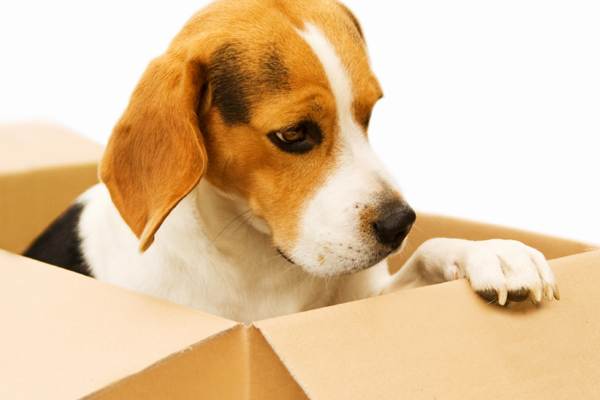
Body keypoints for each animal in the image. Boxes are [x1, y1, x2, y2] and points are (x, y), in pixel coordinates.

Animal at [22, 0, 556, 322]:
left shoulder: (368, 301)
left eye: (369, 114)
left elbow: (429, 252)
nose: (400, 223)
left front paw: (492, 253)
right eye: (294, 134)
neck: (255, 260)